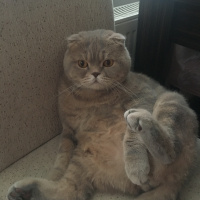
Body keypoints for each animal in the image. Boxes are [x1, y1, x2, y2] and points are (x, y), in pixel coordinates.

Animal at [7, 29, 198, 200]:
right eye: (82, 63)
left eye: (108, 62)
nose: (95, 73)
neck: (90, 99)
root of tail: (178, 181)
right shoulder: (68, 131)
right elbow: (62, 157)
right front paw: (53, 175)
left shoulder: (144, 98)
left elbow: (132, 138)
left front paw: (135, 166)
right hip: (81, 160)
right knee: (68, 191)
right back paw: (24, 191)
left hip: (171, 99)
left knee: (170, 149)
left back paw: (138, 120)